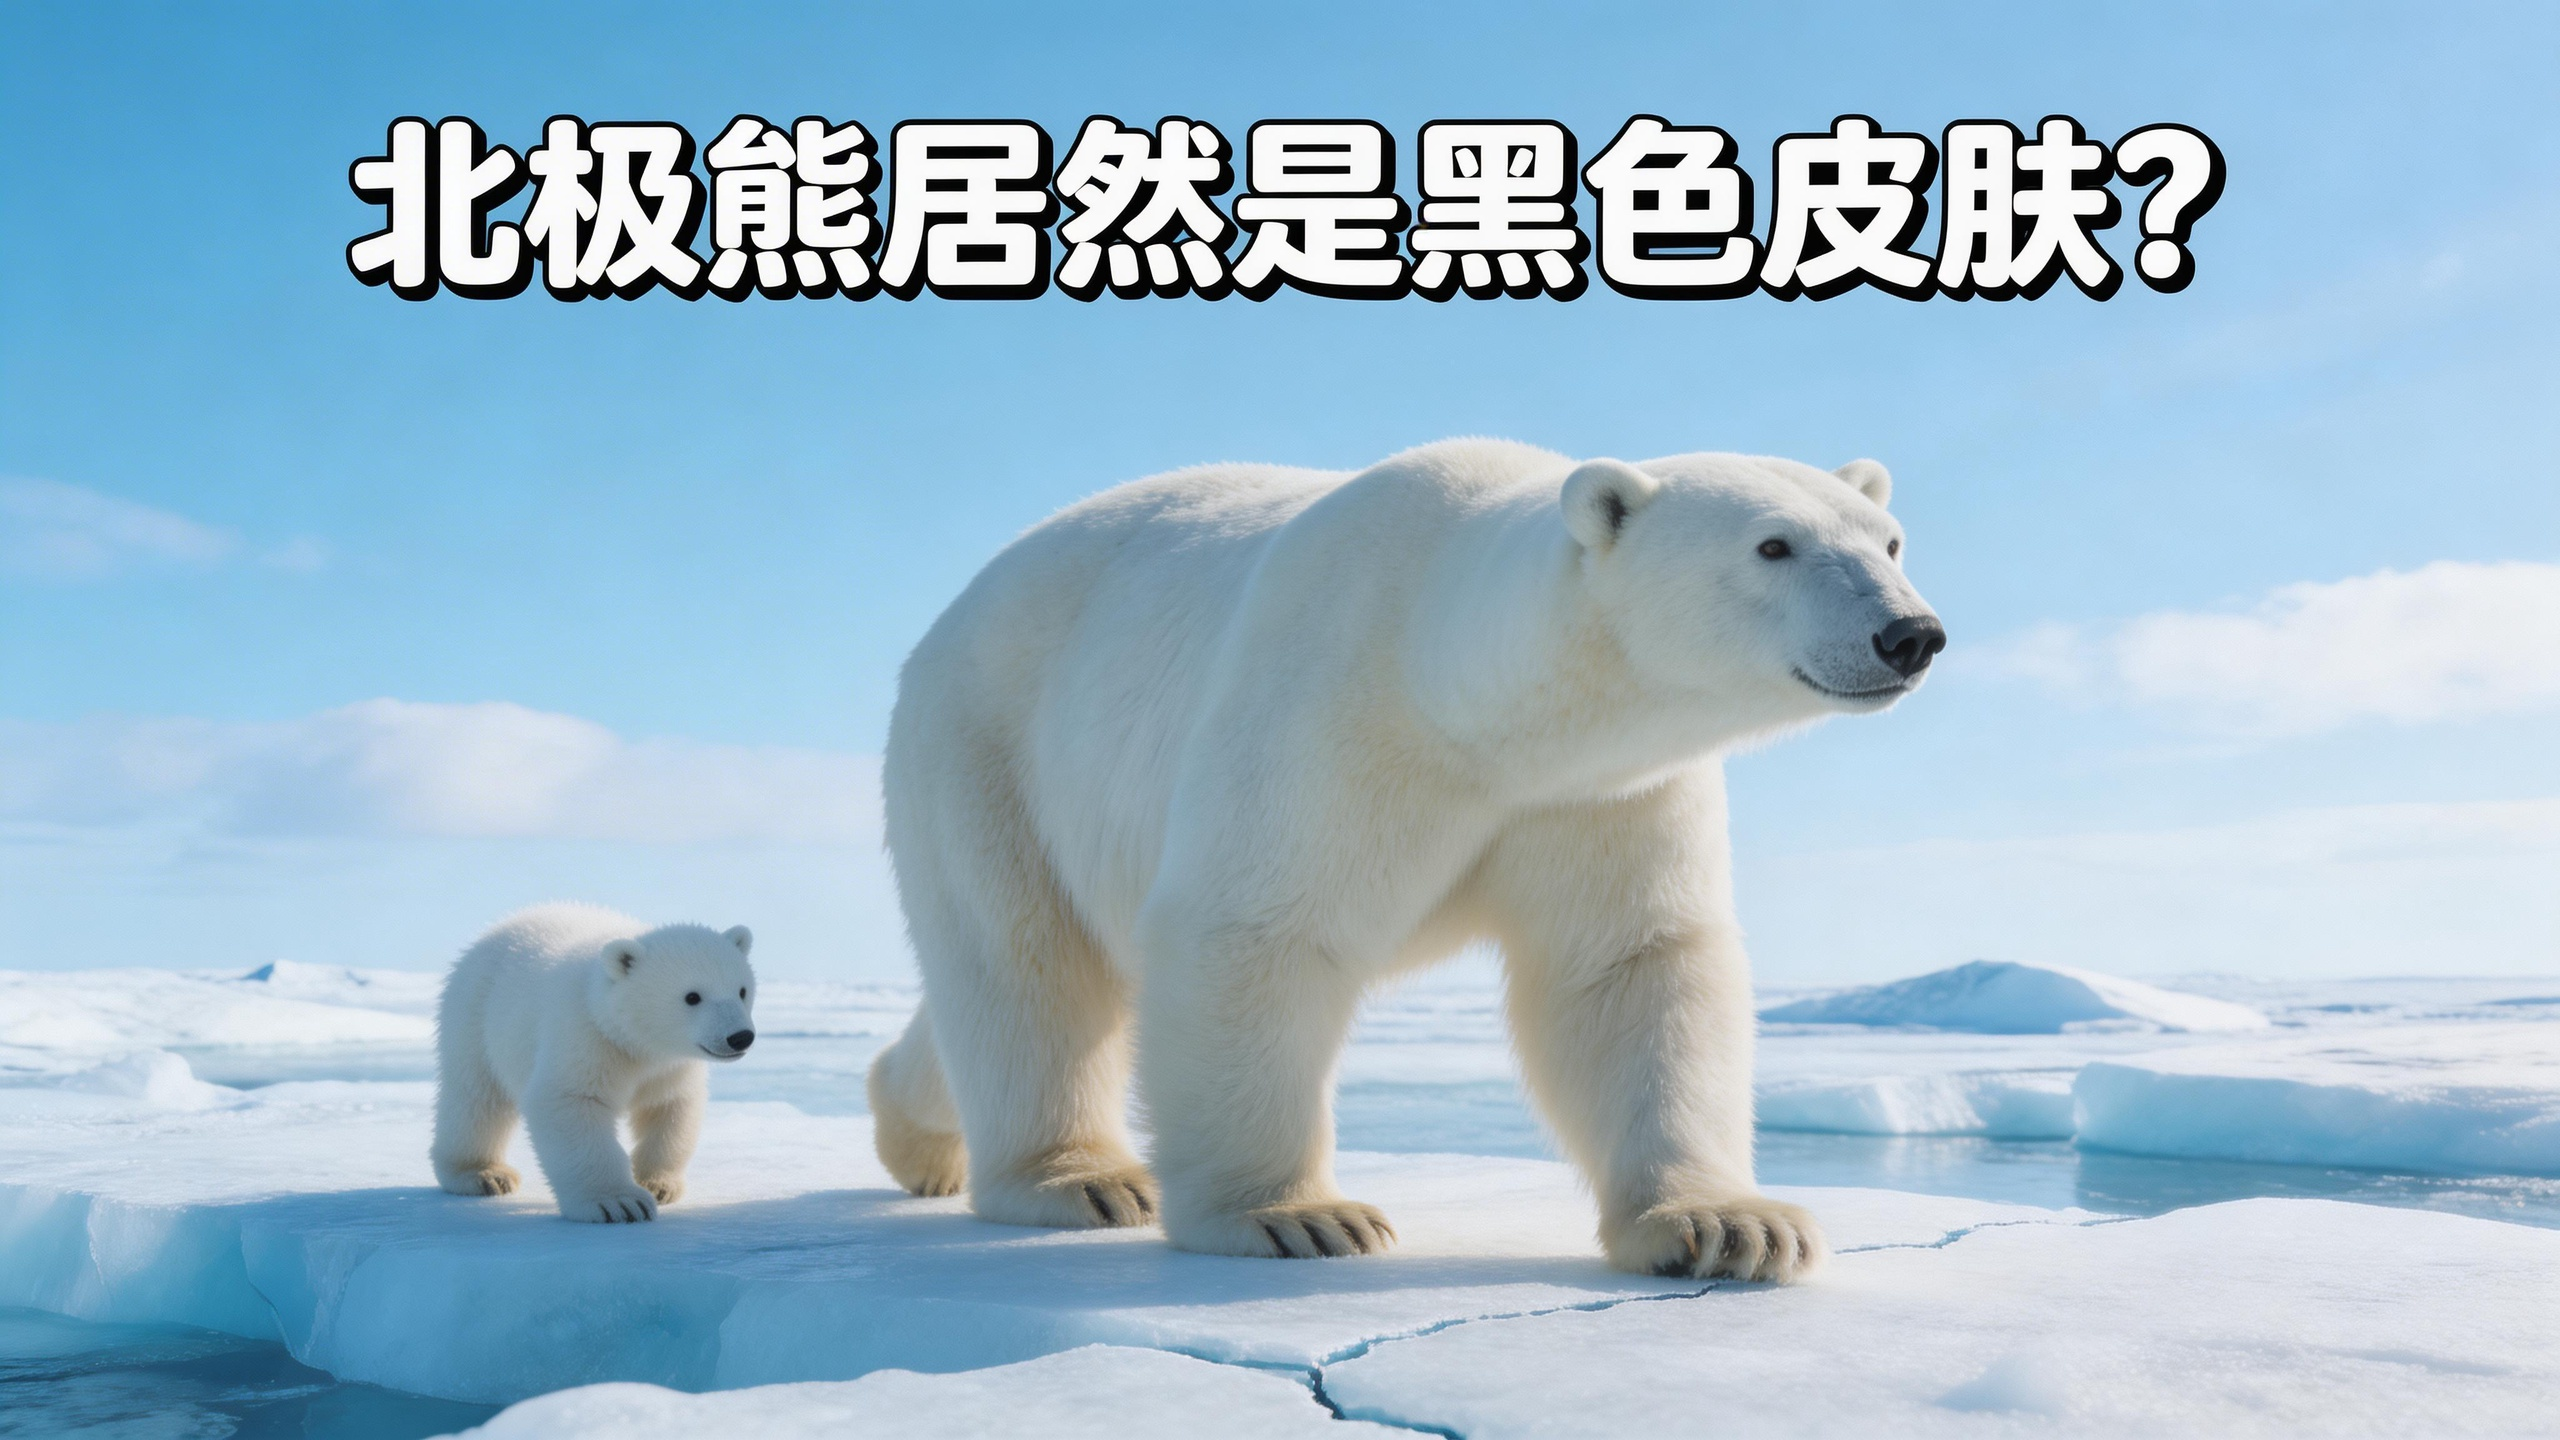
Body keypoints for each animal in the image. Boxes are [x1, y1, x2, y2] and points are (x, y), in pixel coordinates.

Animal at [432, 903, 758, 1223]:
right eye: (692, 996)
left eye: (742, 990)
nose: (740, 1037)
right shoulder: (586, 1038)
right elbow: (570, 1103)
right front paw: (620, 1203)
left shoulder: (670, 1067)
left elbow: (670, 1109)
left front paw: (658, 1184)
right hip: (475, 1019)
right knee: (477, 1100)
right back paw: (483, 1175)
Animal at [867, 439, 1943, 1282]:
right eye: (1773, 545)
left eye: (1888, 542)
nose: (1911, 634)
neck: (1463, 687)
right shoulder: (1334, 715)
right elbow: (1256, 928)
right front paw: (1298, 1216)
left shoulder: (1600, 792)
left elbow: (1629, 967)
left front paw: (1730, 1225)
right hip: (990, 750)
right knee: (1029, 966)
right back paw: (1082, 1181)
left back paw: (911, 1127)